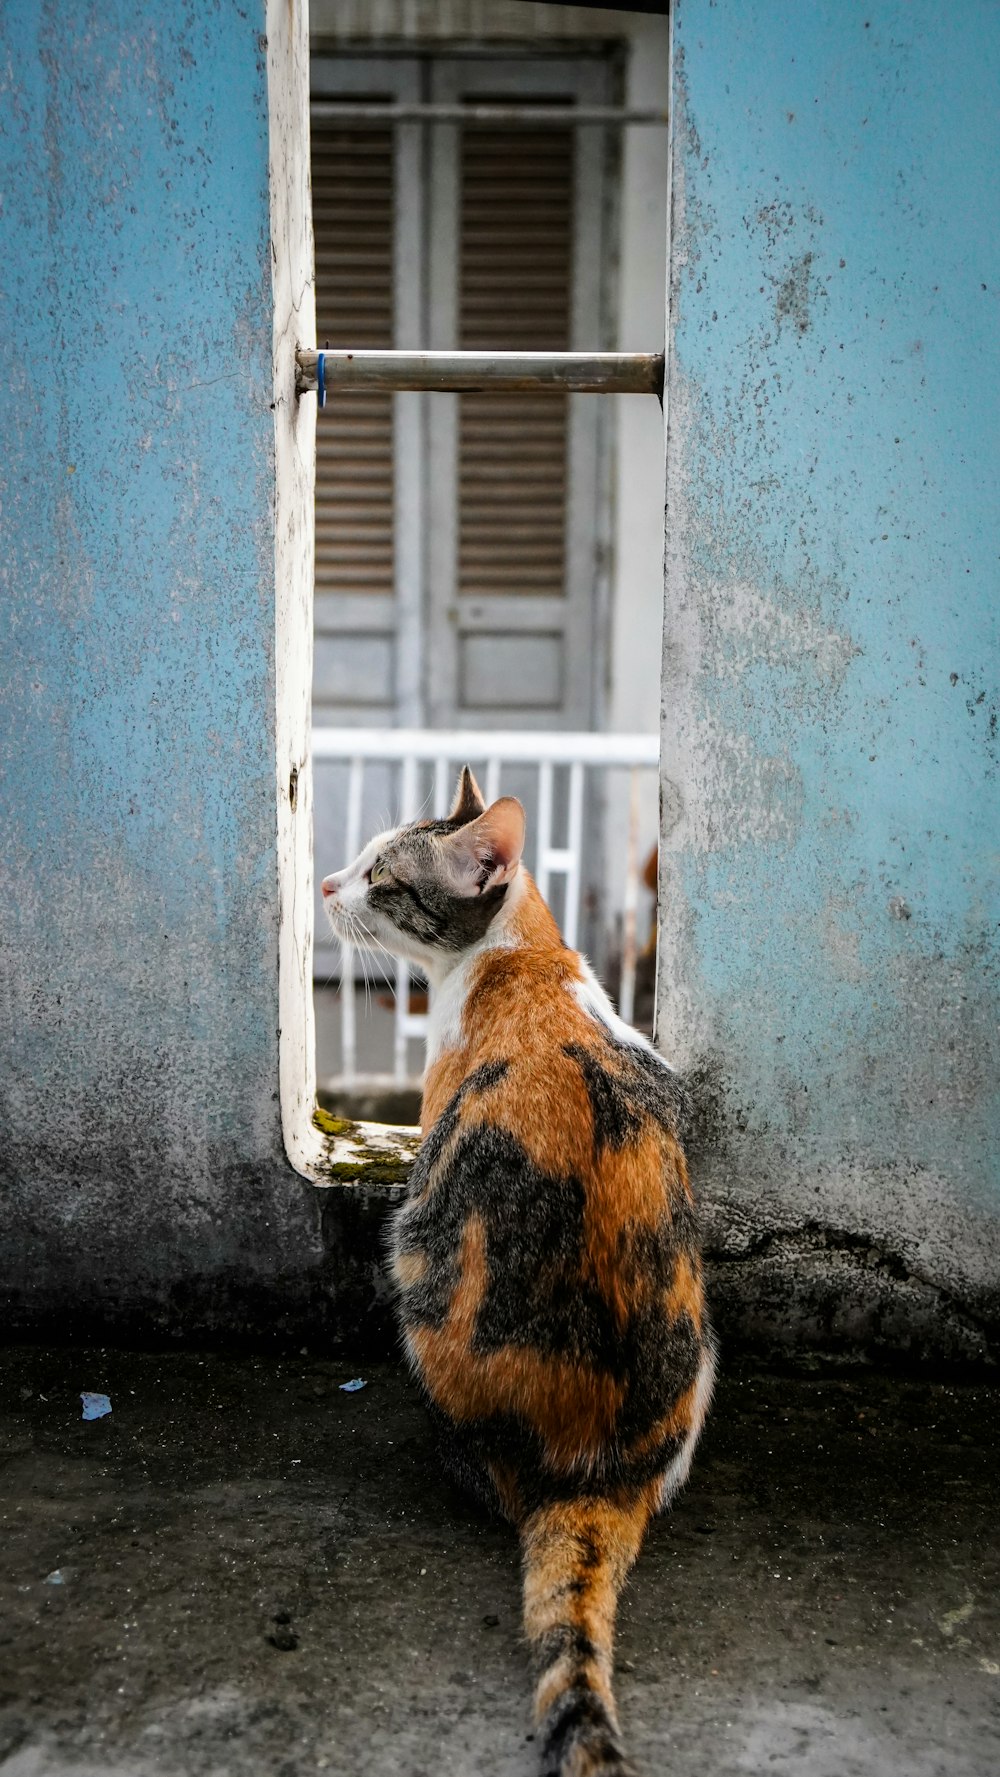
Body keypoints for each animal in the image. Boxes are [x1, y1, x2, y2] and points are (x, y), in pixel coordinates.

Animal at [325, 767, 717, 1777]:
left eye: (381, 874)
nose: (327, 885)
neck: (522, 954)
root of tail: (595, 1471)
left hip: (419, 1256)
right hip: (706, 1343)